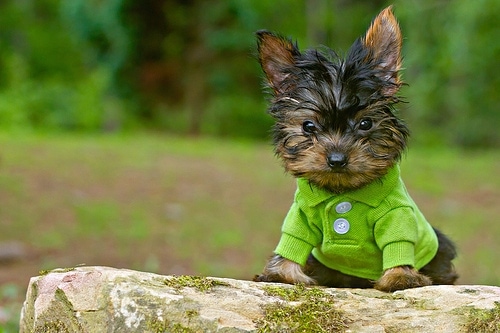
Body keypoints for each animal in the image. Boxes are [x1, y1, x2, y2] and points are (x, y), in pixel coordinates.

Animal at [254, 5, 458, 290]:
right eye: (308, 126)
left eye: (365, 123)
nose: (337, 159)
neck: (344, 192)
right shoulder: (301, 215)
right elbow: (293, 238)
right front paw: (282, 272)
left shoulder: (397, 215)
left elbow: (398, 241)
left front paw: (400, 276)